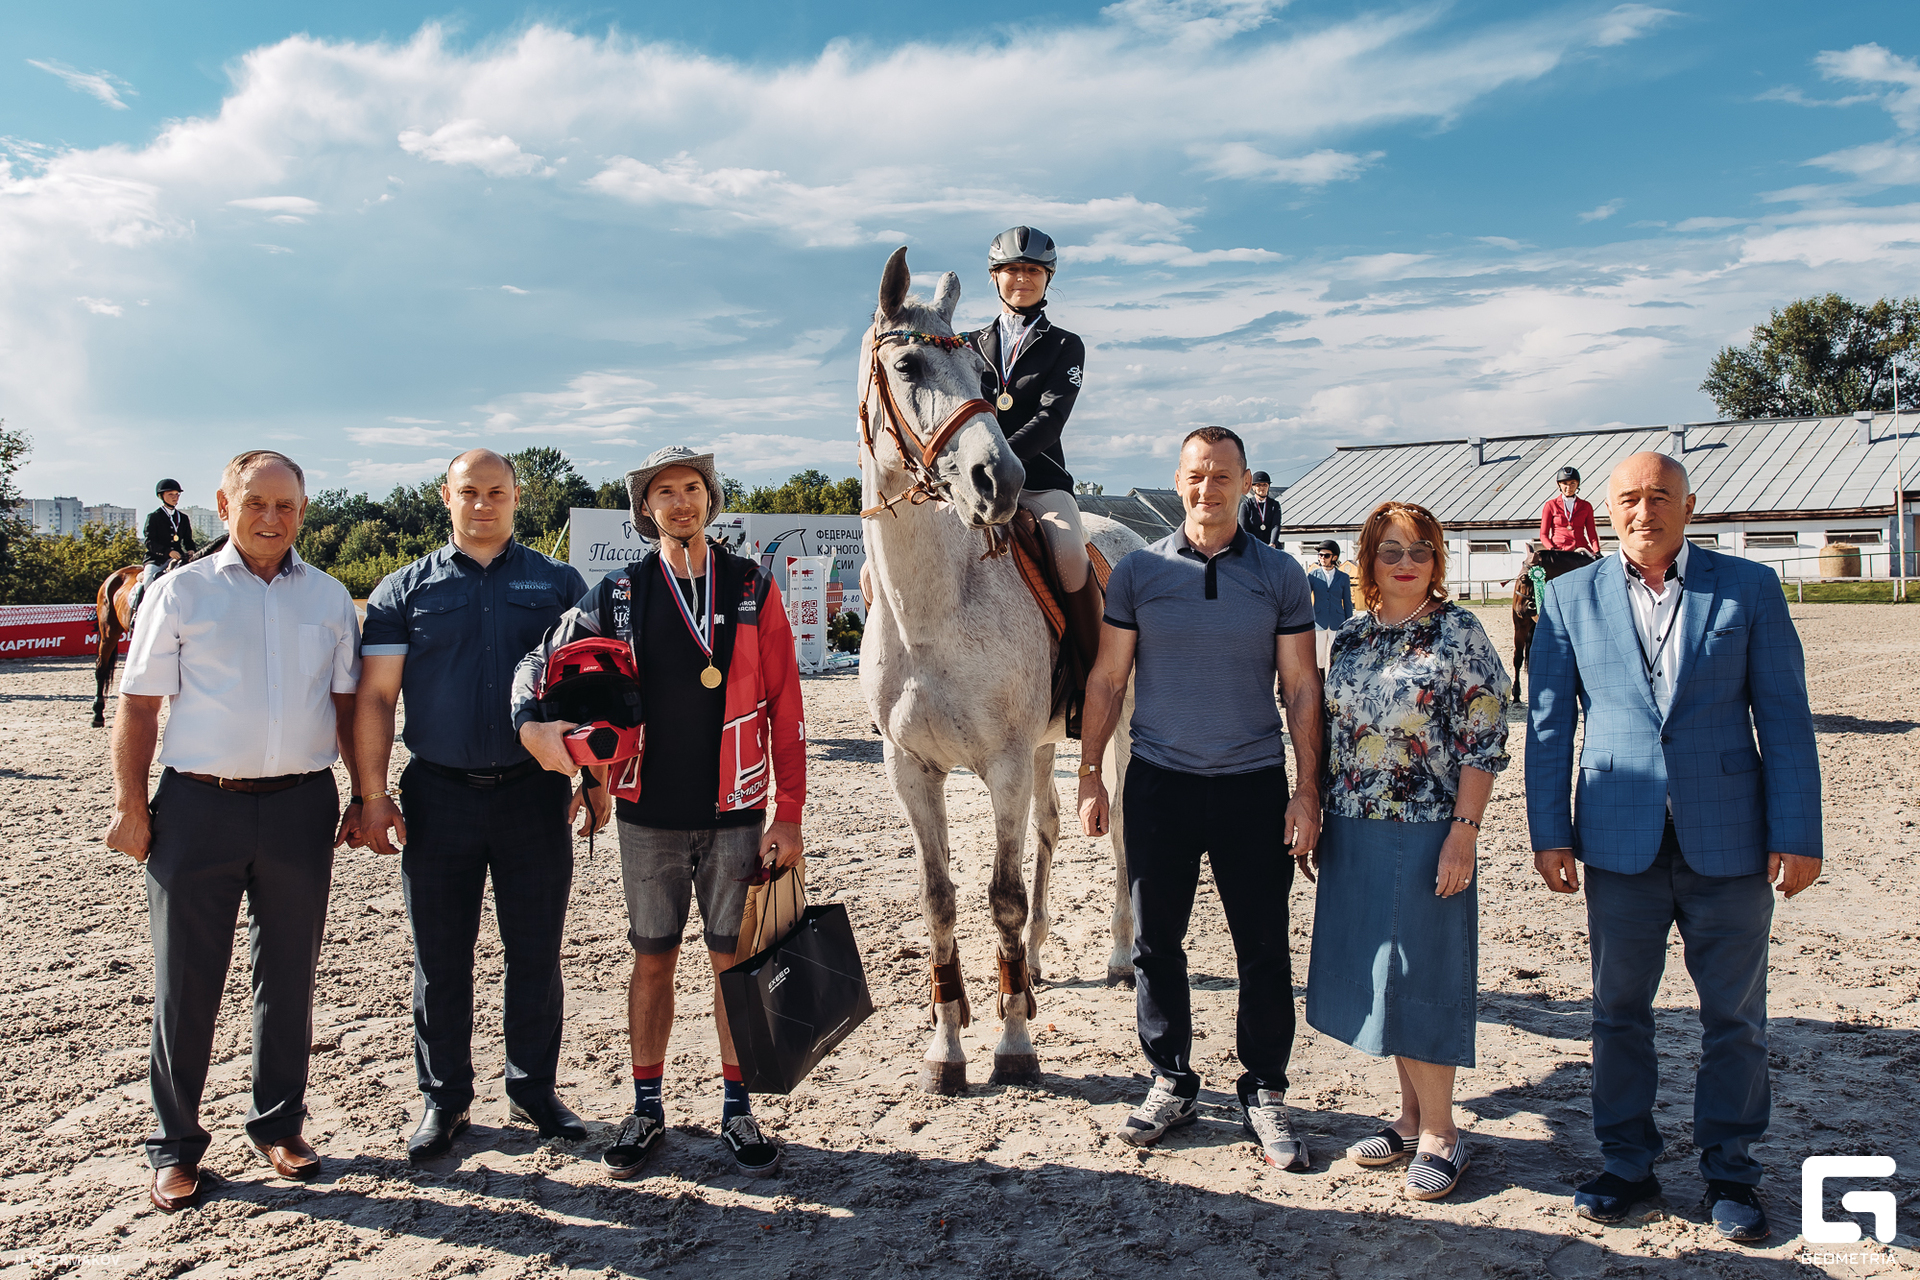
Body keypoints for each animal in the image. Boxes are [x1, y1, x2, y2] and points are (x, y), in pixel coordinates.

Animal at [857, 247, 1144, 1094]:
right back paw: (1042, 962)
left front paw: (1015, 1045)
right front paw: (946, 1048)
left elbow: (1004, 897)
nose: (1002, 482)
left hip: (1116, 731)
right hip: (1050, 741)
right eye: (909, 363)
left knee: (1120, 828)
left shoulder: (1006, 763)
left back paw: (1122, 956)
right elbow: (942, 902)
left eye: (984, 381)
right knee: (1049, 826)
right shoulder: (911, 768)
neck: (932, 610)